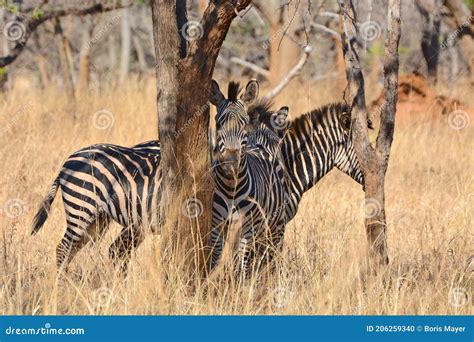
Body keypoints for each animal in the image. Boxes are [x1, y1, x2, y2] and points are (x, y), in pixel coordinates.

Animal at [32, 140, 161, 272]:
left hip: (100, 218)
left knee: (110, 249)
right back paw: (63, 278)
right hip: (81, 209)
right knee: (64, 249)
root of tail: (68, 160)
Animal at [208, 79, 288, 276]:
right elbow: (216, 256)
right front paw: (210, 280)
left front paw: (240, 283)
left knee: (272, 253)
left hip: (275, 224)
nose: (230, 162)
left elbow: (241, 262)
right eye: (218, 124)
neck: (231, 187)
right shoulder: (217, 223)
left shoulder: (249, 227)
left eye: (243, 124)